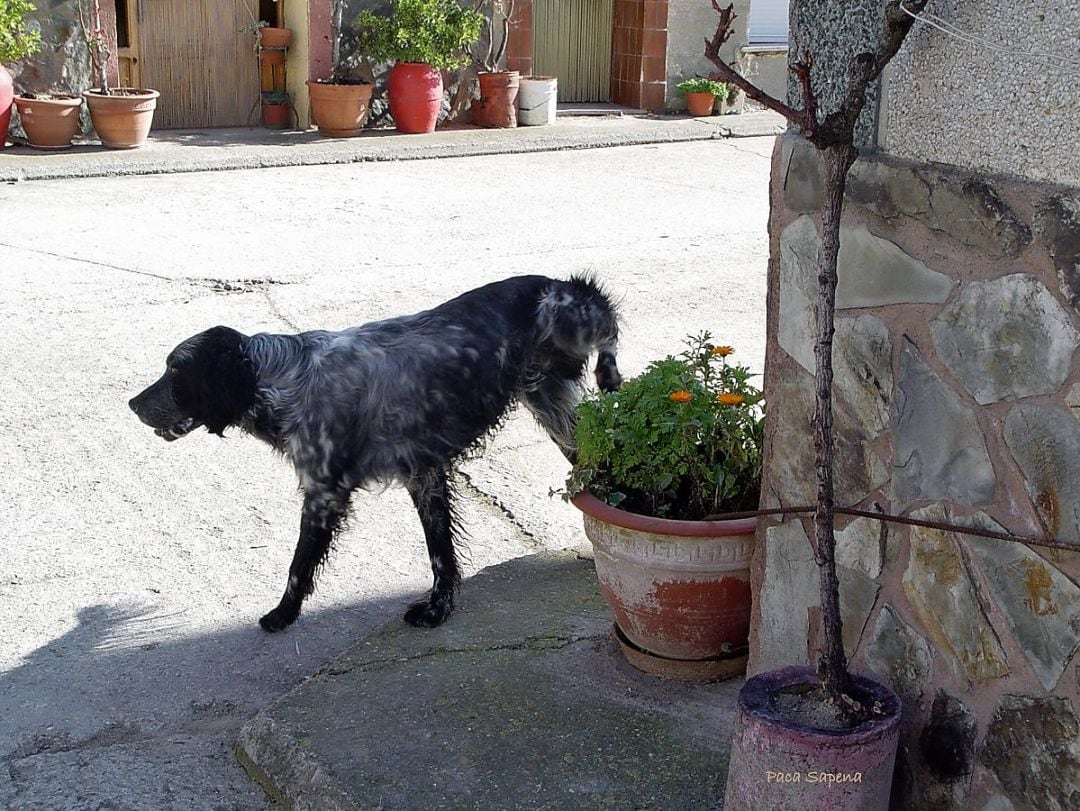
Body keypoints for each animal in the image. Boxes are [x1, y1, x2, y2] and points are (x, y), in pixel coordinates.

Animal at [129, 278, 622, 634]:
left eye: (174, 371)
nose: (132, 404)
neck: (280, 378)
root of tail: (553, 281)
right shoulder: (424, 474)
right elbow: (440, 553)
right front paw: (439, 607)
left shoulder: (325, 492)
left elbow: (298, 565)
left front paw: (282, 615)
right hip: (553, 405)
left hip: (567, 317)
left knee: (606, 316)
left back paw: (610, 370)